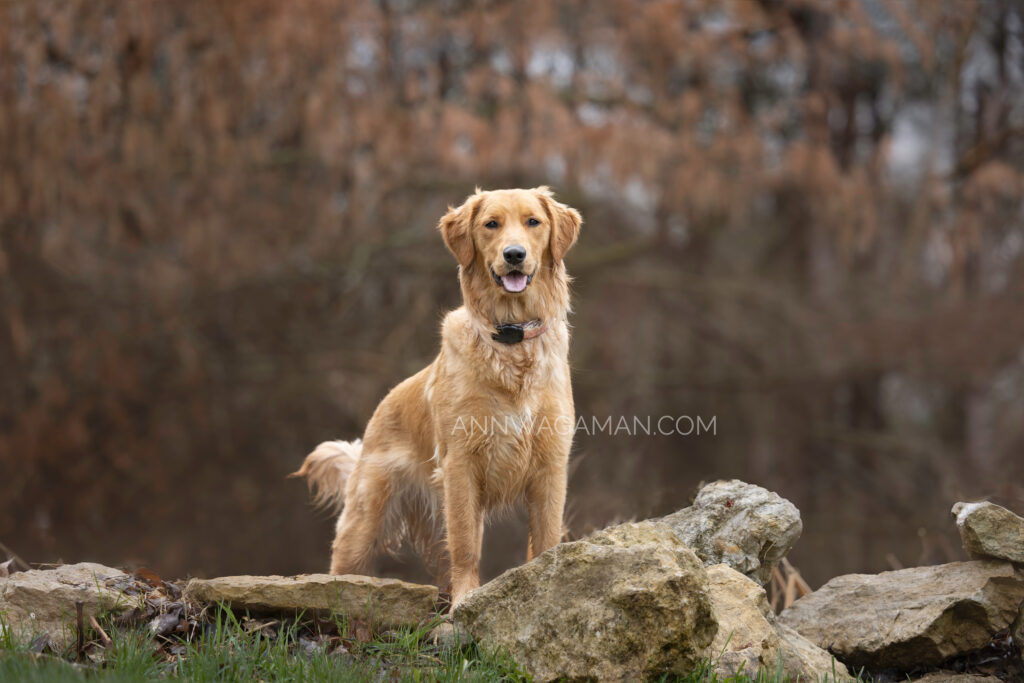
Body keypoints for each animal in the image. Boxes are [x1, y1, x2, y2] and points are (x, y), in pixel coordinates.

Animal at [299, 185, 585, 602]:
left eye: (533, 221)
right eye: (491, 224)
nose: (514, 255)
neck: (511, 342)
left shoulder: (550, 462)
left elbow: (546, 537)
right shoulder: (461, 464)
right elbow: (465, 544)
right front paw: (467, 598)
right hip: (366, 517)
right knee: (343, 567)